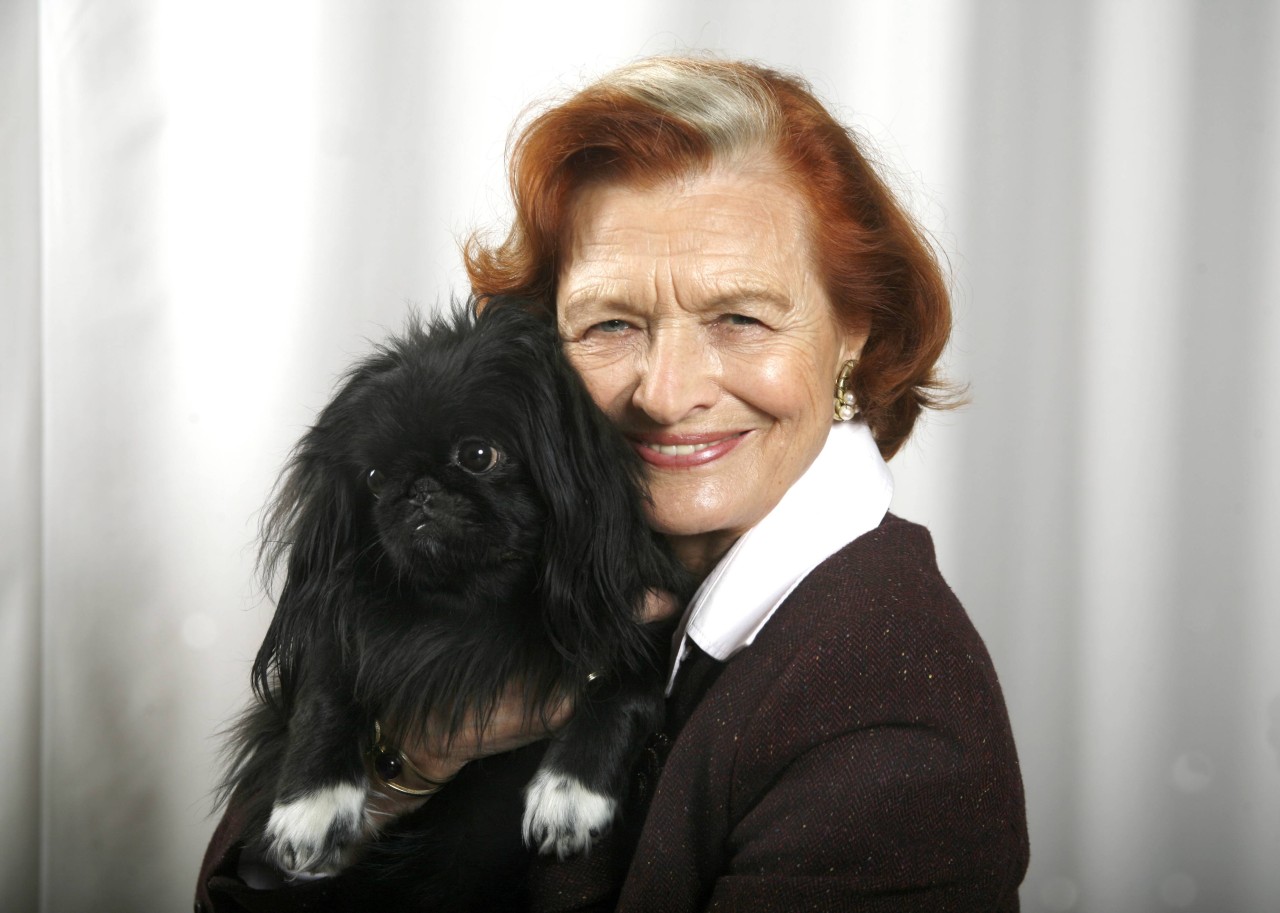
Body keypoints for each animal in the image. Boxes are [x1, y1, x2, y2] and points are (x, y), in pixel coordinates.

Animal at [220, 299, 686, 891]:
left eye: (479, 455)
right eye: (373, 478)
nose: (417, 489)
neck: (469, 603)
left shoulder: (645, 627)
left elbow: (624, 692)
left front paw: (570, 792)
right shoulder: (338, 637)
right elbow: (324, 695)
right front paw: (310, 808)